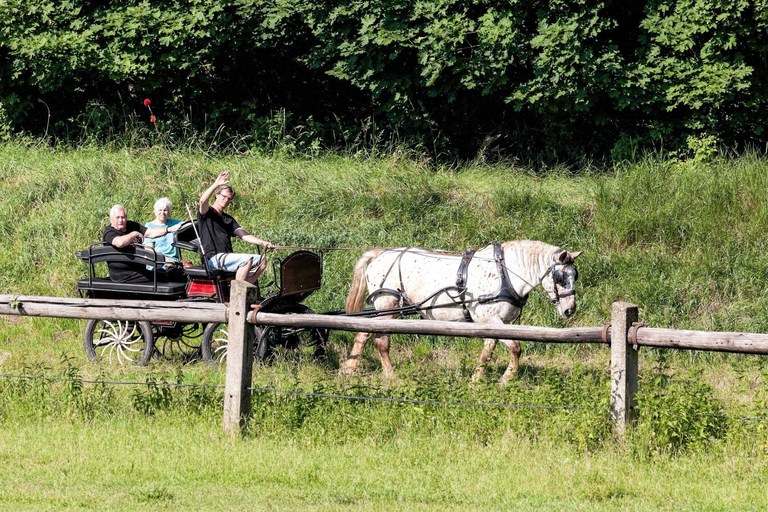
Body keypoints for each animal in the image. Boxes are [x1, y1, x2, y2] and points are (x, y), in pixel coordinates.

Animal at [342, 240, 582, 384]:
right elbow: (515, 347)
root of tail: (379, 254)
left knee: (366, 335)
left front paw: (476, 379)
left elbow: (488, 349)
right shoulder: (490, 319)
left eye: (575, 276)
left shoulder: (497, 323)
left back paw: (354, 369)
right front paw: (507, 379)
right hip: (387, 306)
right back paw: (388, 376)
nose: (569, 310)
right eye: (561, 277)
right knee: (377, 340)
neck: (506, 273)